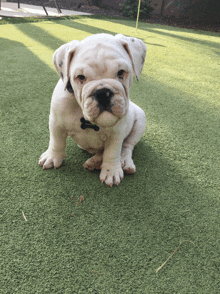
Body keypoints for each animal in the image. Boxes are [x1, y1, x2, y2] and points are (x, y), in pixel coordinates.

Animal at [39, 34, 147, 186]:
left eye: (121, 72)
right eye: (80, 77)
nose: (103, 93)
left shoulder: (117, 133)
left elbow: (112, 152)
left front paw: (111, 172)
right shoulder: (56, 123)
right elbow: (56, 141)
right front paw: (52, 157)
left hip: (140, 121)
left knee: (126, 146)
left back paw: (123, 162)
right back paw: (94, 162)